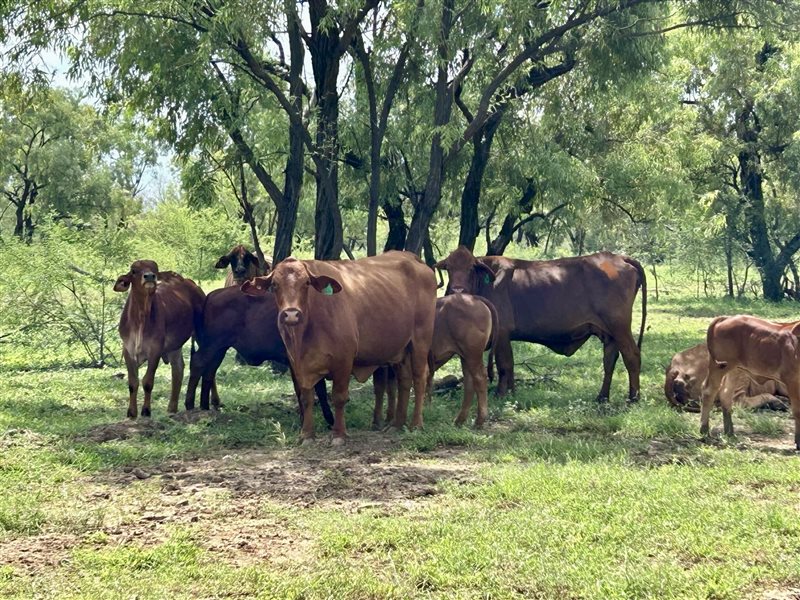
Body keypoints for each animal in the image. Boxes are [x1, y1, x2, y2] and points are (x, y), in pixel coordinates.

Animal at [114, 260, 205, 420]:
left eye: (155, 269)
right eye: (133, 271)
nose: (150, 276)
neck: (140, 318)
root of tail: (191, 284)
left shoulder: (155, 350)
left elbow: (147, 381)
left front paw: (146, 411)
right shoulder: (127, 350)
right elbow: (133, 382)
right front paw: (131, 412)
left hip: (202, 334)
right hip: (175, 346)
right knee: (178, 368)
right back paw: (172, 408)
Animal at [185, 284, 334, 424]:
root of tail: (212, 295)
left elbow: (319, 390)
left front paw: (328, 419)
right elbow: (306, 391)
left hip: (219, 349)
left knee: (209, 372)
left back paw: (205, 407)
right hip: (211, 345)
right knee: (198, 363)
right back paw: (190, 405)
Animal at [241, 251, 434, 442]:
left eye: (306, 283)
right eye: (274, 285)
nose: (291, 314)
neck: (304, 335)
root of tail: (413, 258)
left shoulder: (344, 360)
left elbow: (339, 397)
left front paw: (339, 434)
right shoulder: (296, 363)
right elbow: (306, 398)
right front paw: (307, 434)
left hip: (420, 340)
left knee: (419, 378)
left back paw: (416, 424)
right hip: (401, 349)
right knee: (404, 380)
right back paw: (397, 425)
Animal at [434, 244, 648, 404]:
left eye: (471, 268)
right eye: (449, 268)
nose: (457, 290)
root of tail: (618, 257)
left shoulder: (502, 332)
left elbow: (504, 365)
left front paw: (501, 394)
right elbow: (509, 365)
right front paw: (511, 392)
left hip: (619, 327)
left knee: (632, 356)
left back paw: (633, 398)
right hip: (608, 333)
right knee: (609, 360)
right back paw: (602, 397)